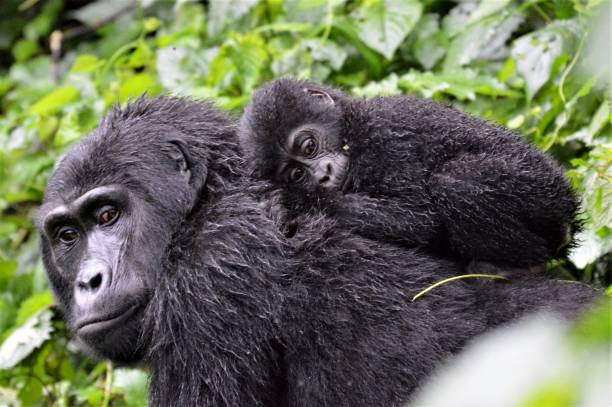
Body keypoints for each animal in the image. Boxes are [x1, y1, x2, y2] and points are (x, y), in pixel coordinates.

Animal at [239, 78, 580, 268]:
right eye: (296, 174)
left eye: (309, 145)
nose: (322, 175)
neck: (352, 128)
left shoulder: (385, 137)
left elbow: (417, 219)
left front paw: (296, 203)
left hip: (543, 191)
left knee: (456, 182)